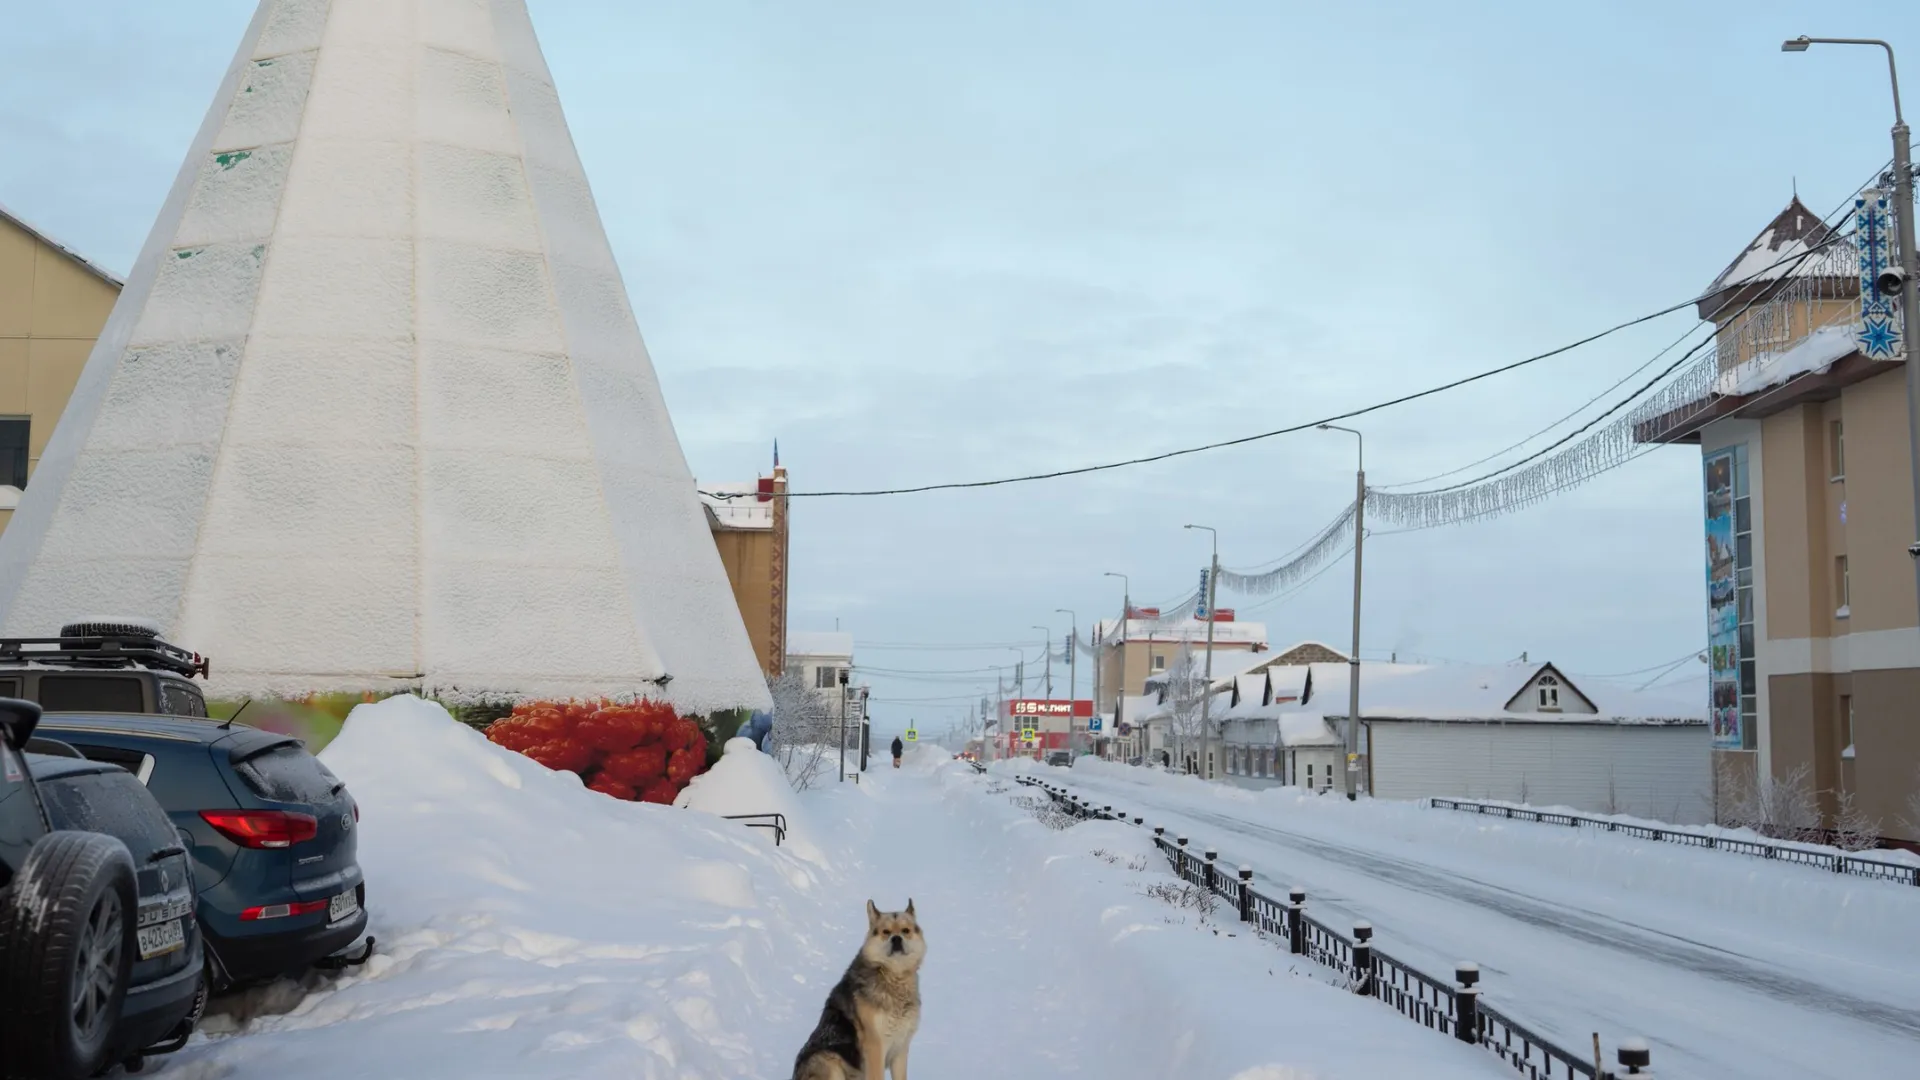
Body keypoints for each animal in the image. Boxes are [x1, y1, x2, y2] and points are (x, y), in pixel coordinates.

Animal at [787, 891, 921, 1076]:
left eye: (905, 931)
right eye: (886, 932)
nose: (896, 939)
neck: (892, 977)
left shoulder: (900, 1049)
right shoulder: (875, 1047)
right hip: (829, 1061)